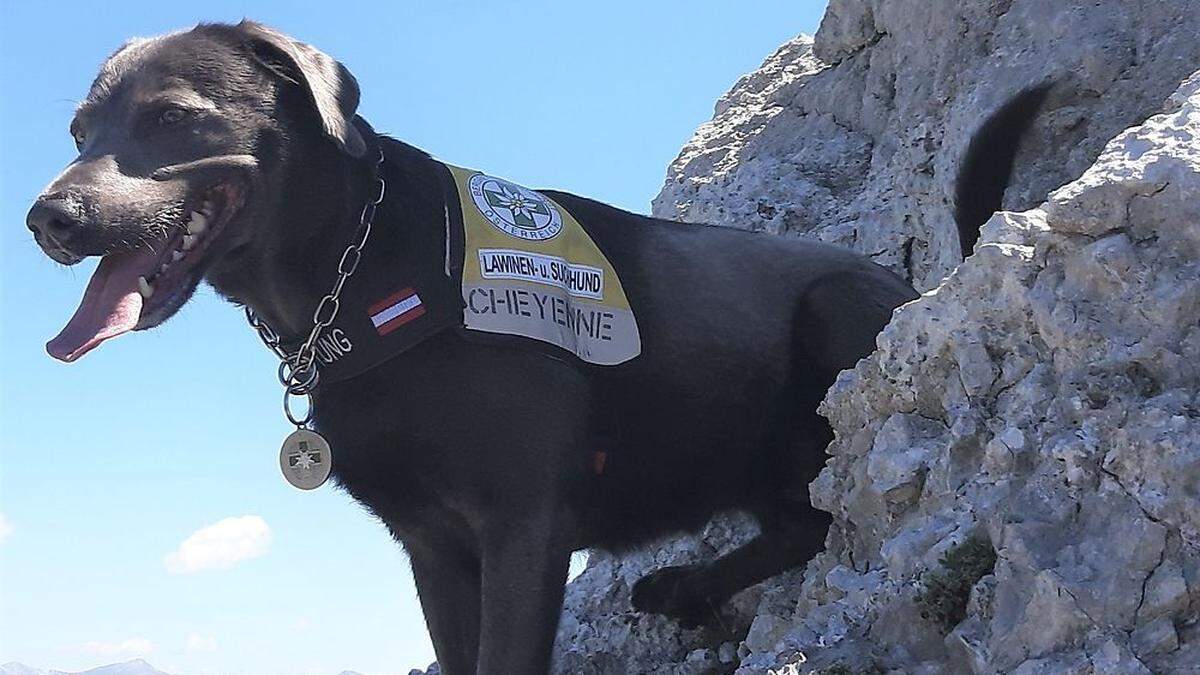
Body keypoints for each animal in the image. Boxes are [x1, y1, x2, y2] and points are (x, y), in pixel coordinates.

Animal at [30, 22, 916, 672]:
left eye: (172, 117)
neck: (360, 275)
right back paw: (686, 585)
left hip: (835, 311)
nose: (47, 219)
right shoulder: (433, 548)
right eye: (78, 131)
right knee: (801, 525)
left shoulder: (522, 527)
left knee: (816, 518)